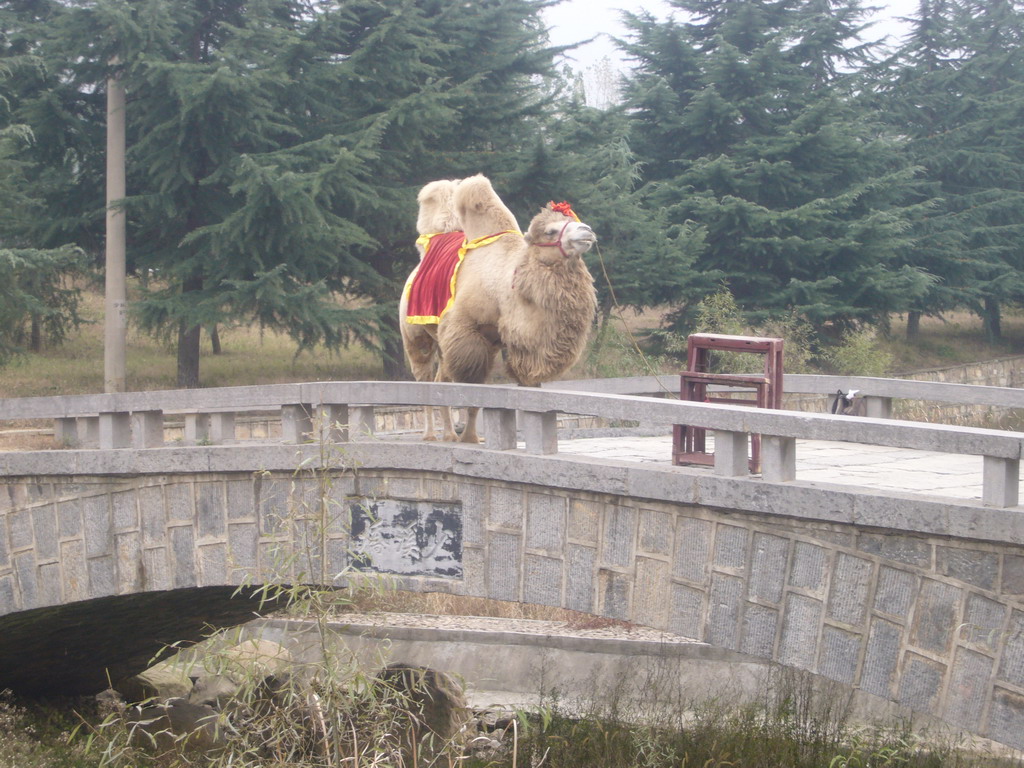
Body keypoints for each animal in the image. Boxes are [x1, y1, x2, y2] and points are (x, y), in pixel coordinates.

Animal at [397, 173, 598, 438]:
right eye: (550, 231)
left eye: (574, 220)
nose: (587, 230)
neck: (508, 282)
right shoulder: (465, 332)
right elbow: (472, 389)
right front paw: (470, 438)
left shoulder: (513, 345)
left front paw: (471, 436)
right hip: (415, 334)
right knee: (424, 379)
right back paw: (431, 435)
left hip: (445, 339)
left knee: (442, 381)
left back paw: (450, 435)